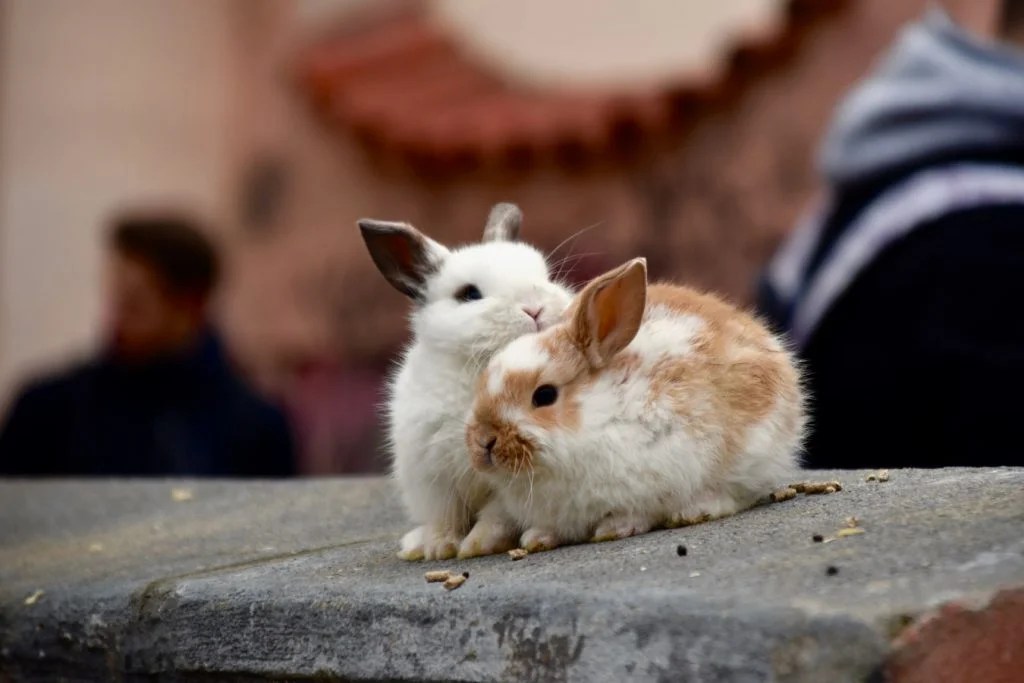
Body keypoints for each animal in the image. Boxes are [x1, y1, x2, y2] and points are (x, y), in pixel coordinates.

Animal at [358, 202, 575, 560]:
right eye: (469, 294)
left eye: (546, 276)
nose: (535, 308)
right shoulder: (434, 479)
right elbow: (446, 517)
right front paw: (439, 548)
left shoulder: (505, 483)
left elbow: (496, 516)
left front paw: (478, 545)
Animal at [463, 257, 806, 554]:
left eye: (544, 395)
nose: (484, 441)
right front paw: (537, 538)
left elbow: (638, 511)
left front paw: (614, 528)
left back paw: (695, 510)